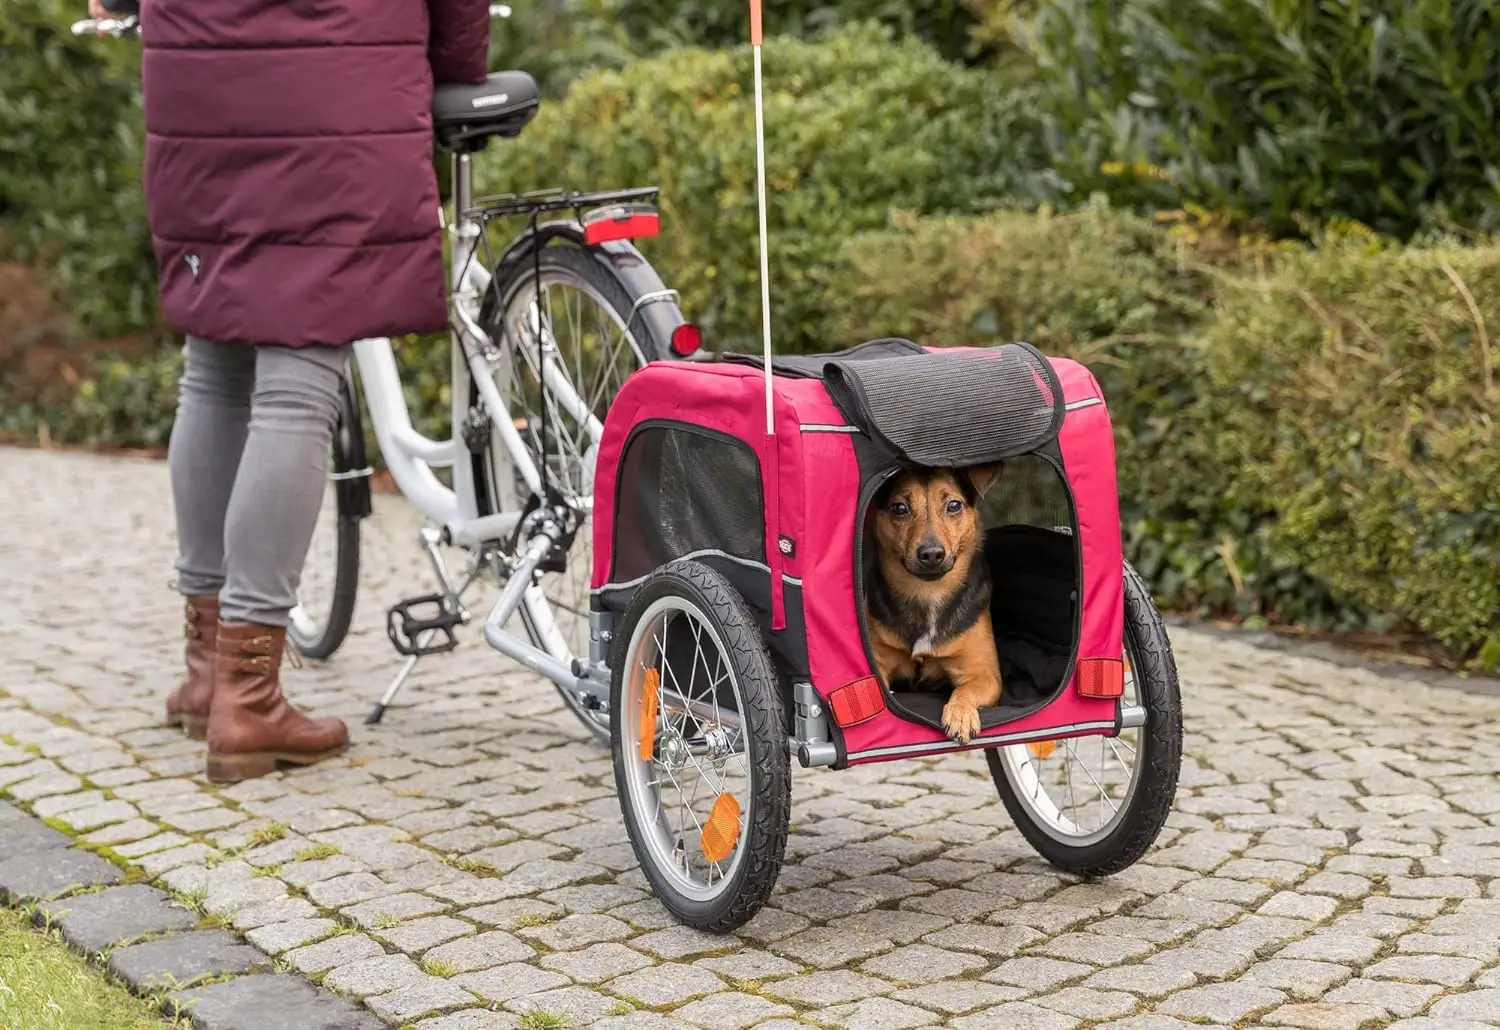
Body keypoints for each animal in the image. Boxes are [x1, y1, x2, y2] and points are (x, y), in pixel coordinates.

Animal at [864, 464, 1002, 740]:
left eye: (954, 505)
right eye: (899, 508)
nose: (931, 554)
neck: (927, 592)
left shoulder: (984, 674)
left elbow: (965, 690)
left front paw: (961, 715)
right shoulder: (879, 664)